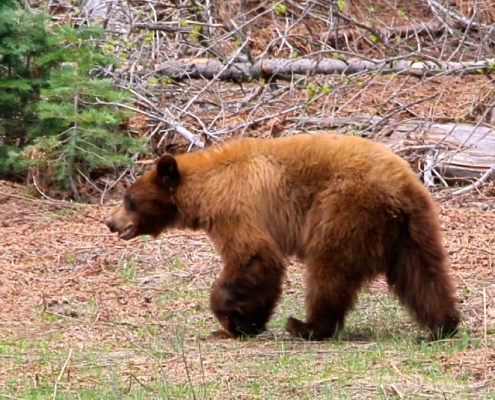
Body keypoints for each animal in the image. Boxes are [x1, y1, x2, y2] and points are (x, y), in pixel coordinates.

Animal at [103, 134, 462, 340]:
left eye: (128, 198)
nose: (110, 222)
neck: (204, 187)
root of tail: (400, 190)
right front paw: (249, 322)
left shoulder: (236, 206)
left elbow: (254, 255)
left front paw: (231, 318)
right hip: (414, 229)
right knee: (424, 274)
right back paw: (442, 325)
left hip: (343, 209)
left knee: (329, 270)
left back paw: (308, 326)